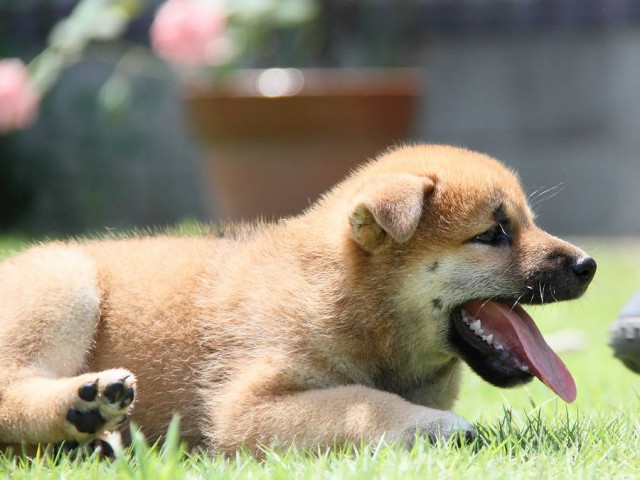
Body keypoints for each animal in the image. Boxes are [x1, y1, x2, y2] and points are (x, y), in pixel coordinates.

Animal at [0, 144, 596, 452]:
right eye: (493, 234)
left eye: (528, 223)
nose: (588, 266)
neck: (346, 297)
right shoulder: (245, 407)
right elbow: (359, 402)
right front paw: (433, 427)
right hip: (66, 282)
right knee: (9, 393)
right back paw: (87, 401)